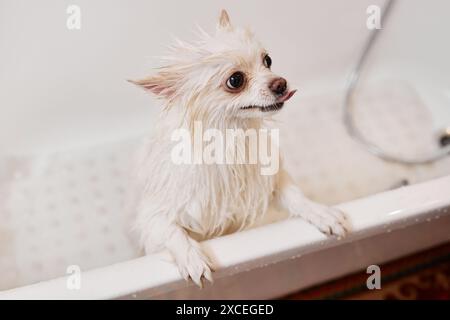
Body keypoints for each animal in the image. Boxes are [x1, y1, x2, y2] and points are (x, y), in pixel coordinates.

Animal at [129, 10, 348, 286]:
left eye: (268, 60)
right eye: (235, 80)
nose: (281, 83)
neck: (230, 139)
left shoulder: (269, 179)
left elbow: (295, 196)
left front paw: (320, 212)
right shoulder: (152, 217)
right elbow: (172, 231)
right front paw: (192, 257)